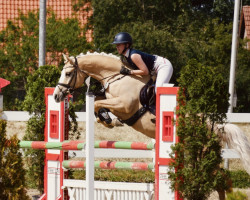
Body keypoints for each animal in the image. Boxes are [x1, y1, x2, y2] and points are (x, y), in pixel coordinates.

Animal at [53, 52, 250, 177]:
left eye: (68, 73)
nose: (56, 96)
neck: (117, 77)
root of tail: (213, 125)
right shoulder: (112, 100)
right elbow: (98, 104)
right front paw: (109, 120)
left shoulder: (124, 105)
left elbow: (97, 104)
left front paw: (110, 121)